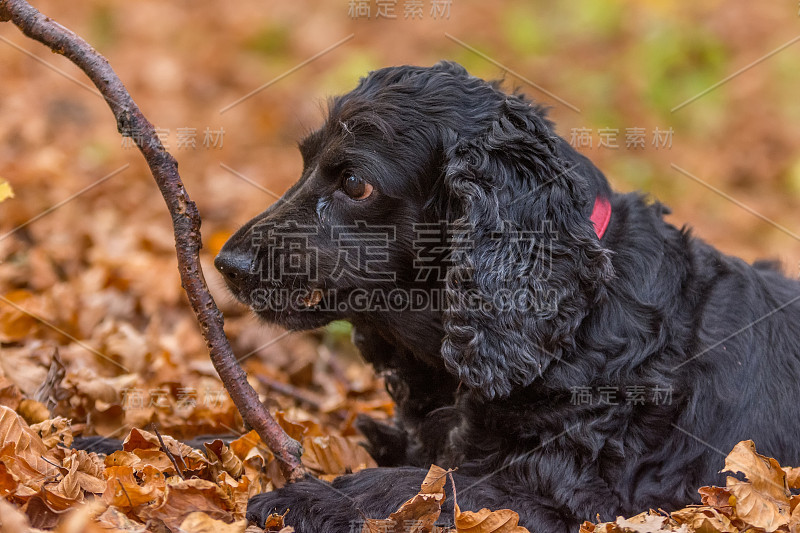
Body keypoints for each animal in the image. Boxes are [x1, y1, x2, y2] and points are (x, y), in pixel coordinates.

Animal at [214, 60, 800, 528]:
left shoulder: (566, 499)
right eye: (304, 162)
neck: (574, 320)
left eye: (355, 183)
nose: (225, 264)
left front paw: (307, 498)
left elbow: (410, 486)